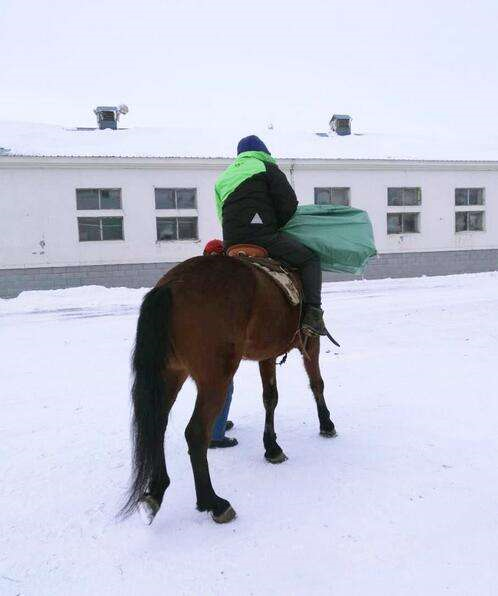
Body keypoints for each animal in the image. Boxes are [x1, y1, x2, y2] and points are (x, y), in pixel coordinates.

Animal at [122, 254, 336, 524]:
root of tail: (170, 285)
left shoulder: (267, 355)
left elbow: (270, 398)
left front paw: (272, 447)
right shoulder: (310, 342)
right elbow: (317, 383)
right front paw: (326, 424)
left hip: (171, 373)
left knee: (157, 424)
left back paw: (156, 491)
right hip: (215, 380)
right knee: (195, 432)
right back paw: (213, 502)